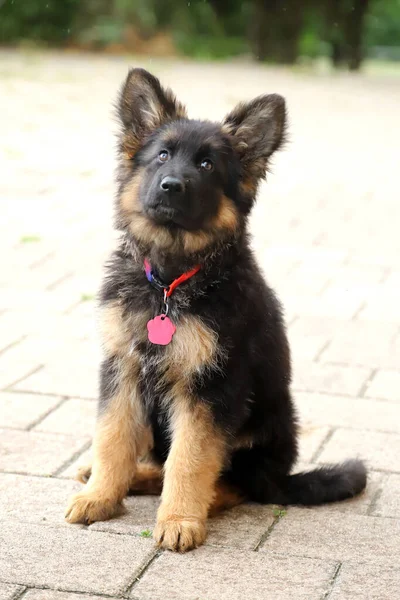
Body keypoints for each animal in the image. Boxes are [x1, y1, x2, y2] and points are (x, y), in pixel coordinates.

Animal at [65, 68, 366, 552]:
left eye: (207, 166)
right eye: (162, 155)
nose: (171, 185)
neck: (170, 282)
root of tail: (280, 477)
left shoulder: (211, 386)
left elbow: (190, 459)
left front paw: (179, 519)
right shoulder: (122, 368)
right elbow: (112, 436)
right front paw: (100, 496)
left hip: (263, 432)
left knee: (236, 484)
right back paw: (127, 476)